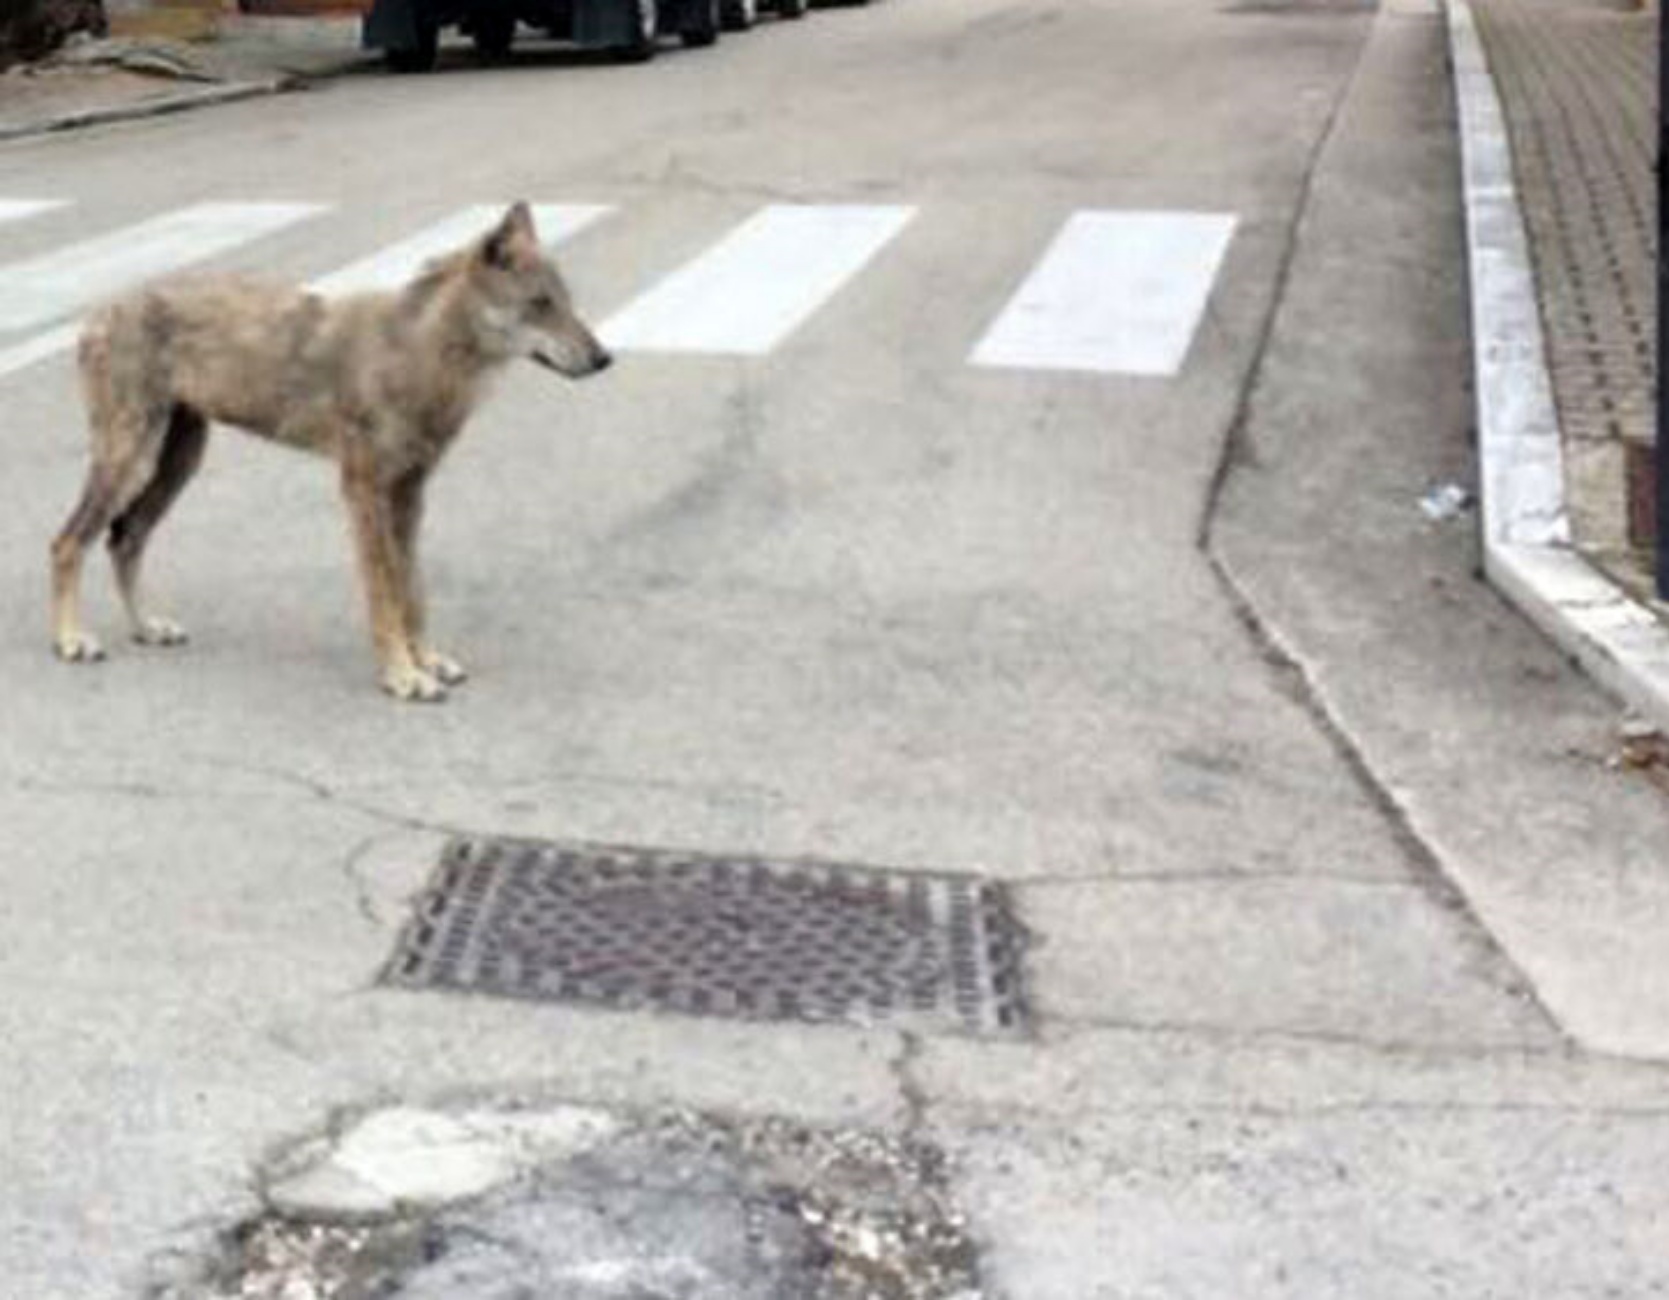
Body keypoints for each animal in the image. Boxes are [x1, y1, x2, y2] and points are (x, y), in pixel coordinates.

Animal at [48, 201, 617, 700]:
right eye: (540, 304)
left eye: (566, 301)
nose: (605, 359)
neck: (421, 353)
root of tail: (99, 313)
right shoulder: (363, 489)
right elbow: (384, 594)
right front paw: (402, 677)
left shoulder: (409, 494)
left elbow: (413, 591)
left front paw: (426, 661)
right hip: (131, 461)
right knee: (68, 543)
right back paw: (70, 641)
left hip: (176, 464)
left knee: (125, 542)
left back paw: (146, 628)